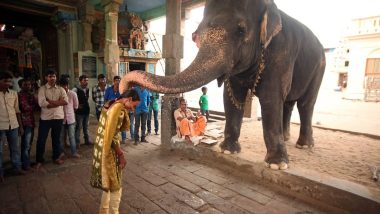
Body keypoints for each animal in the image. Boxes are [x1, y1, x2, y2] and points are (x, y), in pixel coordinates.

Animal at [120, 0, 326, 171]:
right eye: (195, 36)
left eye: (241, 30)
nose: (124, 88)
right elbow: (231, 98)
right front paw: (227, 151)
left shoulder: (281, 54)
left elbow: (271, 98)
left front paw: (277, 165)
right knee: (289, 103)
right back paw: (288, 138)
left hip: (319, 68)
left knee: (305, 104)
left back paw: (304, 145)